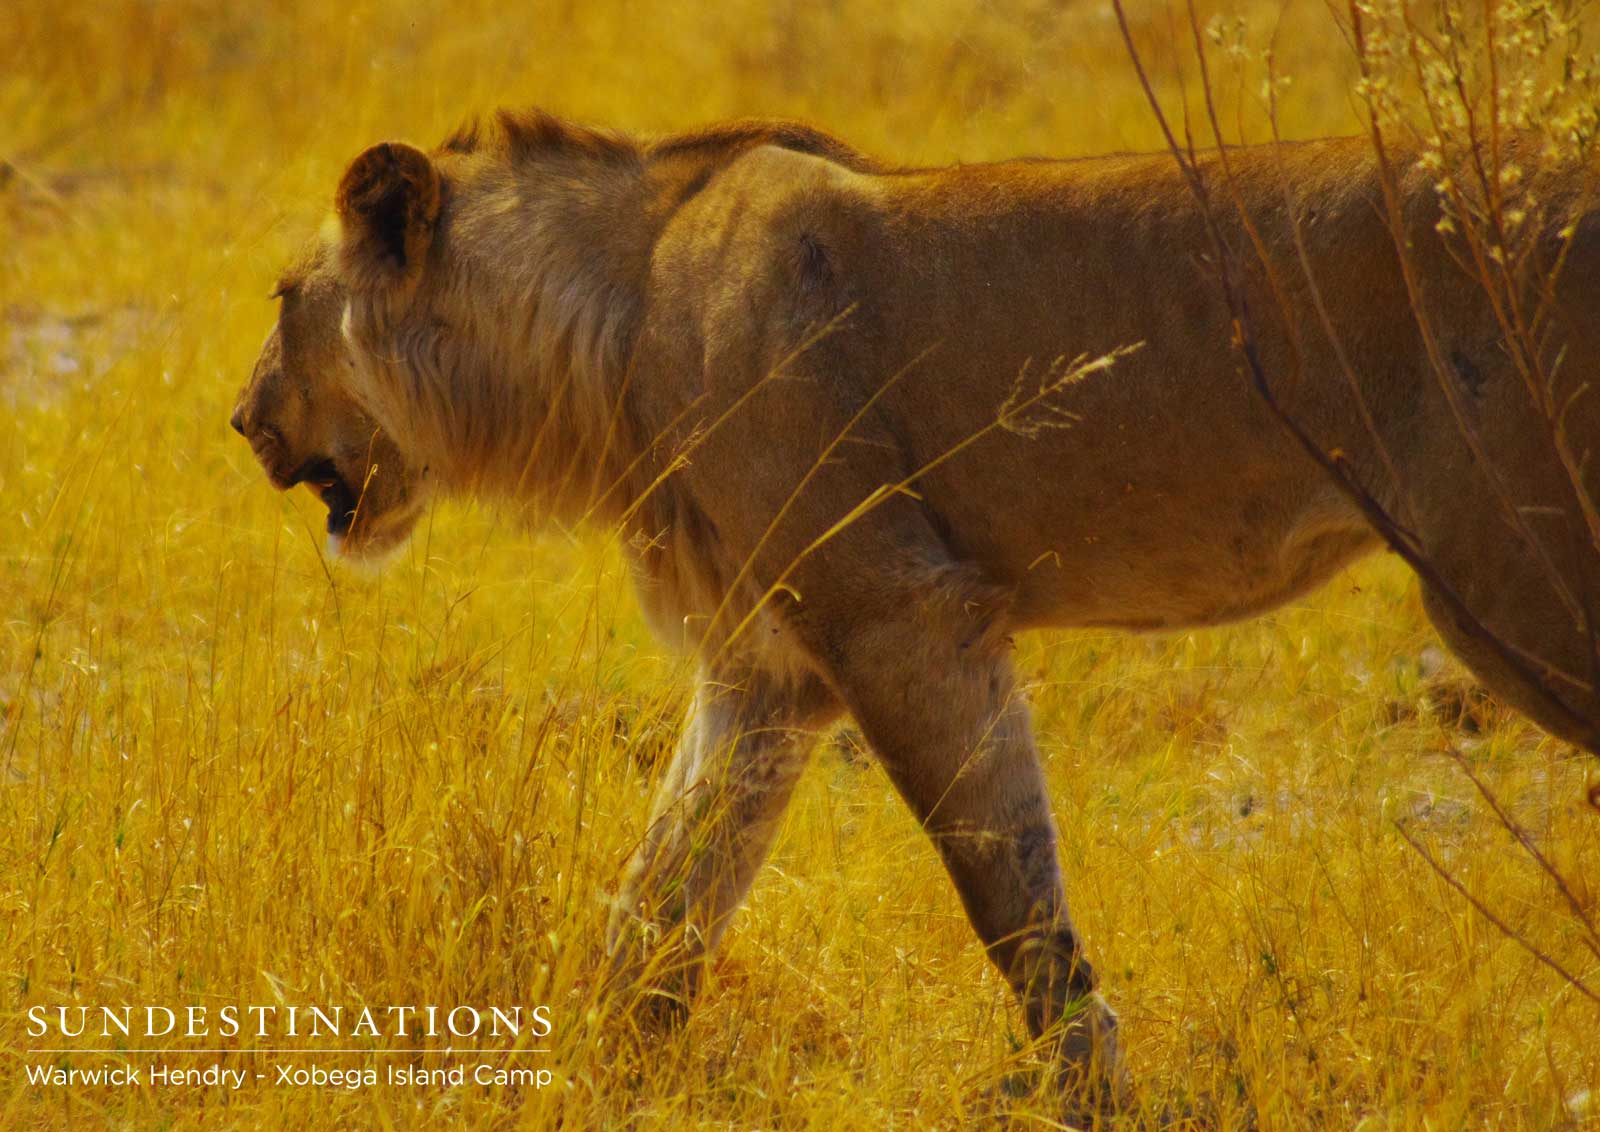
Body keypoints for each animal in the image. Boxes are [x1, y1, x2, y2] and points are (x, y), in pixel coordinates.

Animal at [231, 110, 1600, 1110]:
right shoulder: (767, 671)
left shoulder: (898, 610)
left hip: (1513, 576)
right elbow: (661, 901)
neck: (615, 314)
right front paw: (596, 1078)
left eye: (287, 299)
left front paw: (1094, 1098)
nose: (242, 422)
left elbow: (1010, 896)